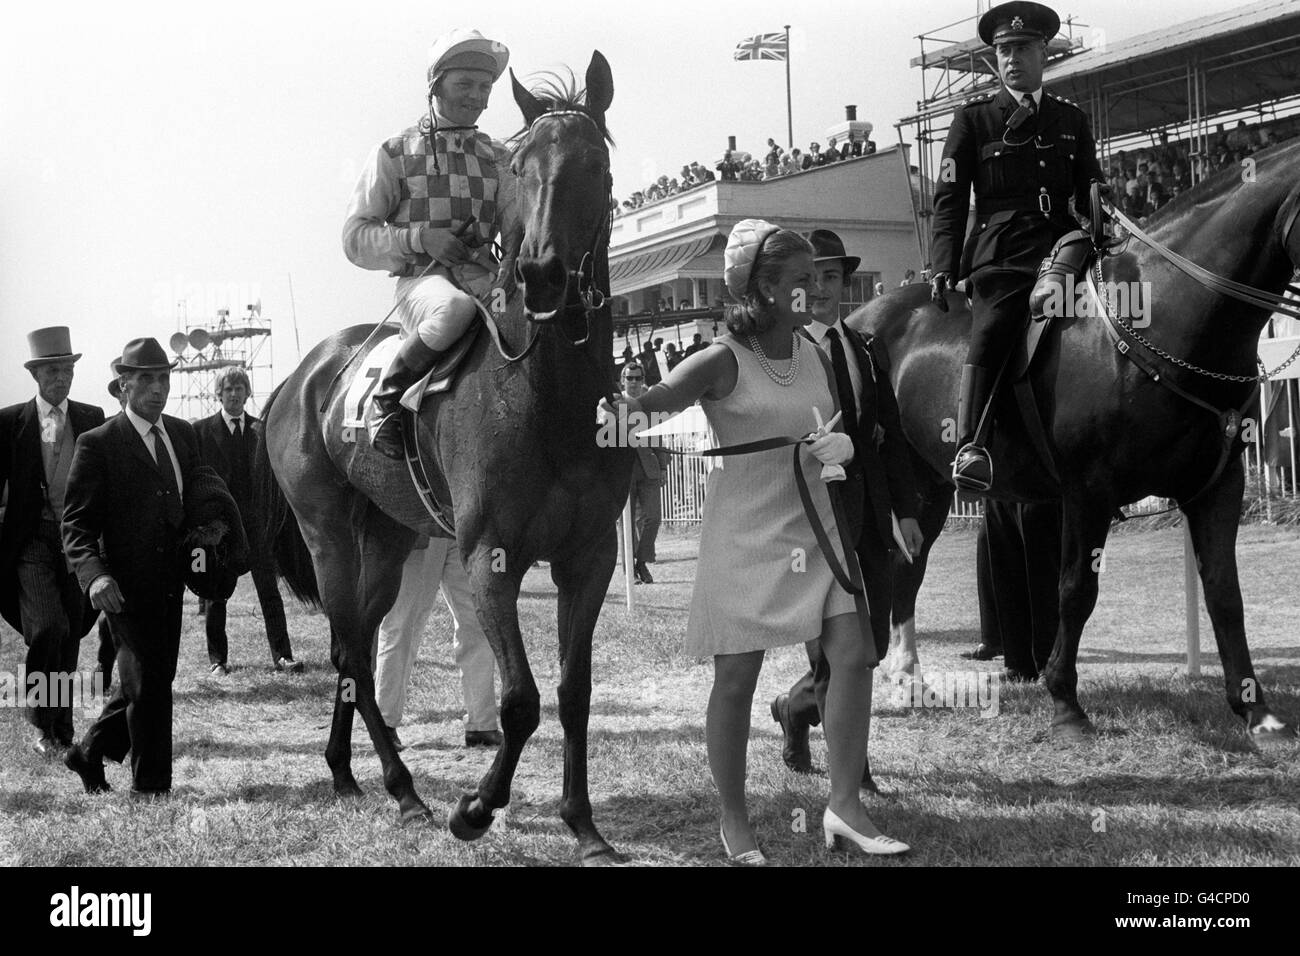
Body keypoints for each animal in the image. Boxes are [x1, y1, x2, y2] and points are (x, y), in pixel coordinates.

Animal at [254, 55, 634, 863]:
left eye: (595, 164)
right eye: (518, 166)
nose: (543, 272)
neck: (544, 395)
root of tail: (299, 378)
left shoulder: (588, 557)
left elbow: (573, 691)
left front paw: (583, 824)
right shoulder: (490, 554)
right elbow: (519, 701)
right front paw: (476, 808)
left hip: (391, 537)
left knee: (356, 650)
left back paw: (347, 772)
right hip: (328, 536)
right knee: (351, 651)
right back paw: (403, 791)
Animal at [852, 138, 1300, 749]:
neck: (1163, 317)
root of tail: (859, 318)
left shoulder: (1217, 486)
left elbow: (1225, 594)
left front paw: (1258, 712)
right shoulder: (1089, 492)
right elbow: (1075, 591)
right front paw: (1064, 701)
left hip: (928, 485)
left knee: (909, 565)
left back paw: (908, 679)